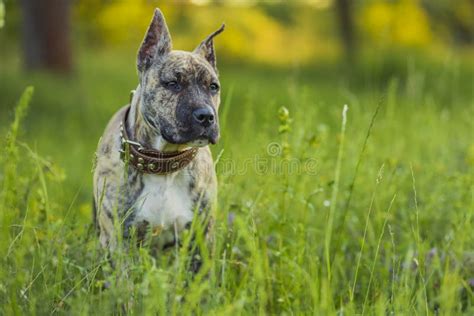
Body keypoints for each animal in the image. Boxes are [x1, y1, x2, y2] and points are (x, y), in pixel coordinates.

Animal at [93, 8, 225, 264]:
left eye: (213, 87)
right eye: (173, 83)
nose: (206, 116)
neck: (164, 162)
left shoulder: (201, 240)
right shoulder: (120, 242)